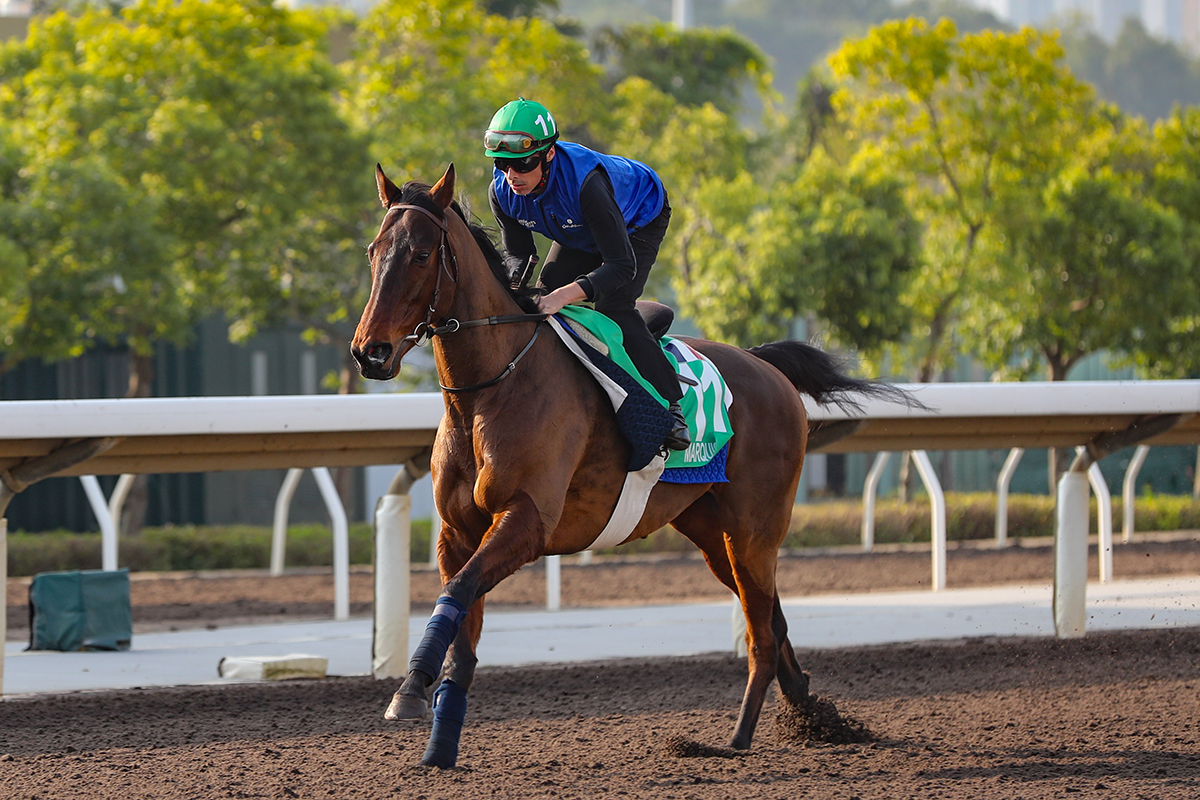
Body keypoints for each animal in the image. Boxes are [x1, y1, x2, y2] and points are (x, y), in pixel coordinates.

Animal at [350, 163, 912, 767]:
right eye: (373, 250)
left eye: (421, 255)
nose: (370, 352)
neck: (491, 388)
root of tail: (767, 368)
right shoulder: (458, 533)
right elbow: (460, 624)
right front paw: (436, 741)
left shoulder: (527, 520)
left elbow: (456, 594)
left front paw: (409, 691)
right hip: (712, 532)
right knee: (774, 620)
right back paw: (811, 715)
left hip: (754, 529)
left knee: (762, 634)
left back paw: (735, 741)